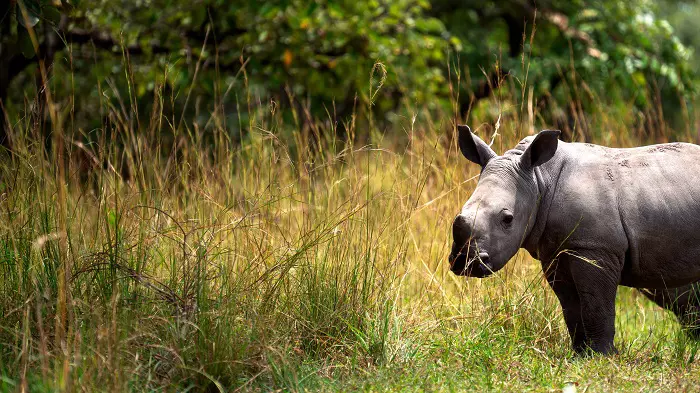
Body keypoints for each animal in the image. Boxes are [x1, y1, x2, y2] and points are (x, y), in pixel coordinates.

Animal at [448, 124, 700, 354]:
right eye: (459, 215)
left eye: (507, 219)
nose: (465, 262)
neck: (539, 180)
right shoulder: (555, 251)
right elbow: (571, 306)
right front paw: (579, 353)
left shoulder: (595, 249)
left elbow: (596, 304)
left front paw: (602, 355)